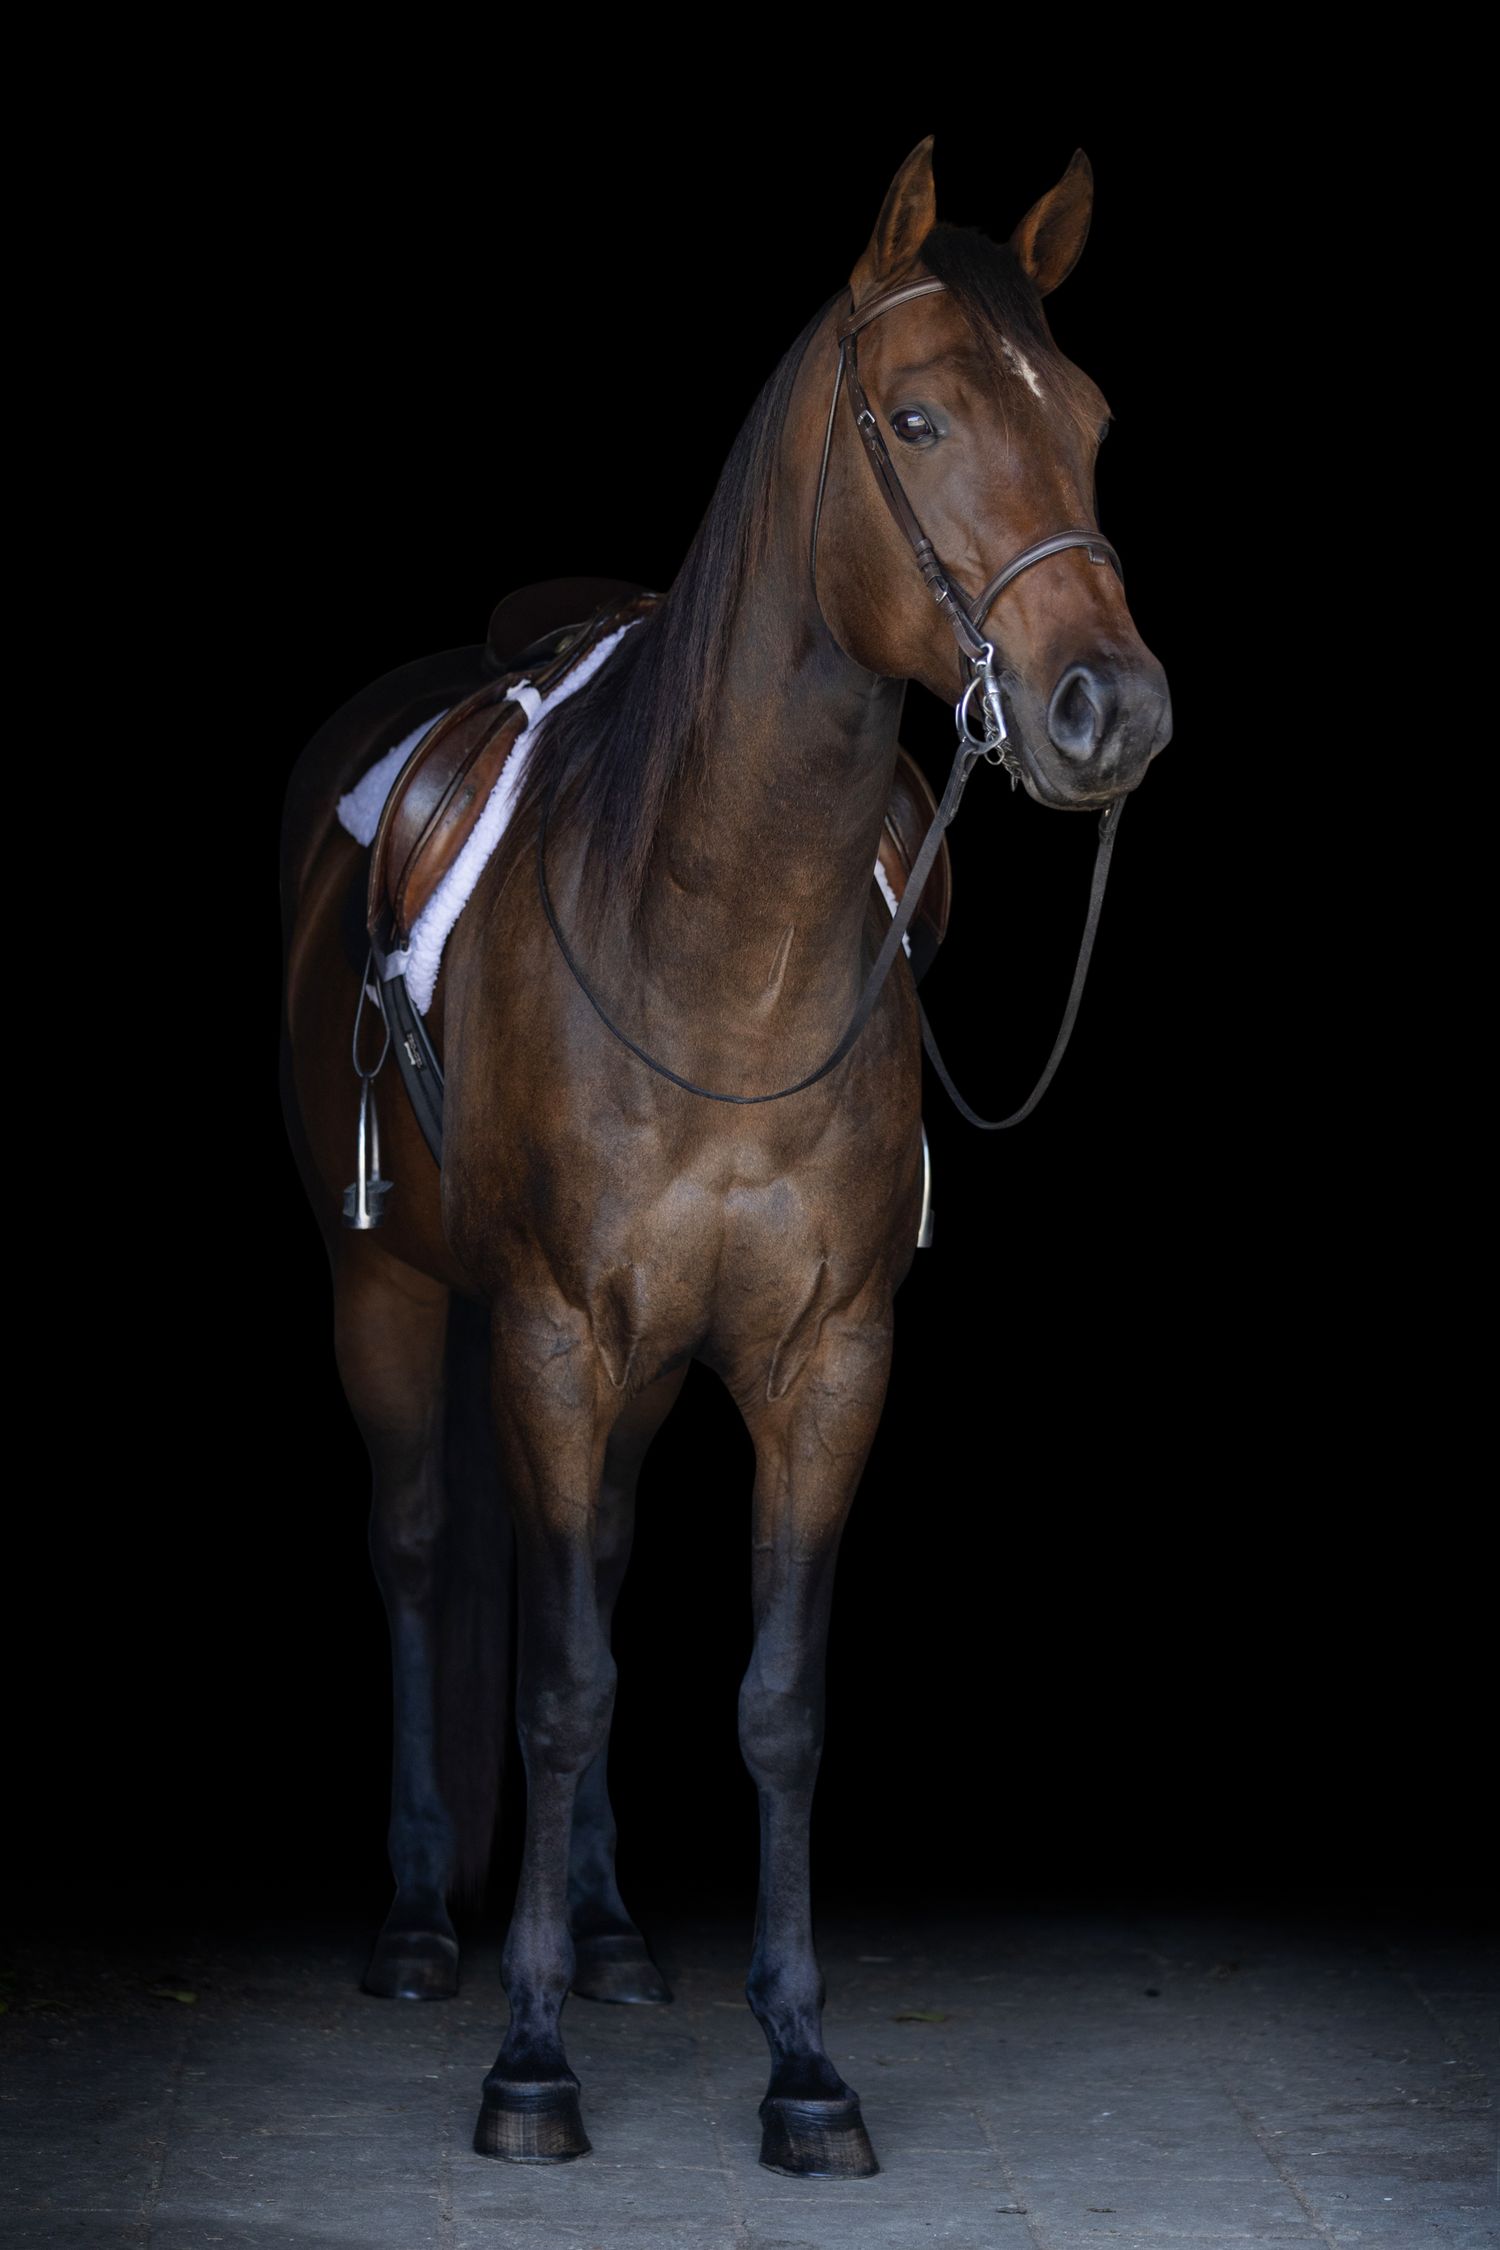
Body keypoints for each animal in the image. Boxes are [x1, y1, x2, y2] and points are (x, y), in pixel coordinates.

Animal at [278, 134, 1172, 2179]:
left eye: (1087, 421)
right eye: (917, 417)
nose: (1113, 710)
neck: (726, 950)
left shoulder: (824, 1361)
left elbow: (768, 1702)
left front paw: (803, 2061)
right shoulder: (544, 1334)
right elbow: (548, 1682)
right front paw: (526, 2063)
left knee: (596, 1558)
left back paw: (609, 1933)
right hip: (390, 1293)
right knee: (426, 1551)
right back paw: (427, 1930)